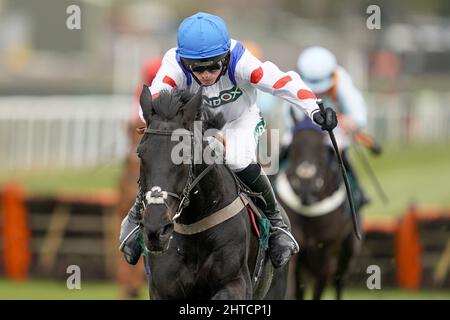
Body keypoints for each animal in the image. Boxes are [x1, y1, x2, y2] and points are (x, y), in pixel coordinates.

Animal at [135, 85, 288, 300]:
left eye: (184, 155)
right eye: (140, 153)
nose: (156, 230)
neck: (194, 226)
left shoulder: (236, 281)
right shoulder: (162, 288)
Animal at [272, 116, 360, 298]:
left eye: (323, 149)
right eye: (294, 147)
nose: (306, 185)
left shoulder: (326, 251)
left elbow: (321, 283)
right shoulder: (295, 245)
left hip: (348, 250)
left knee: (339, 280)